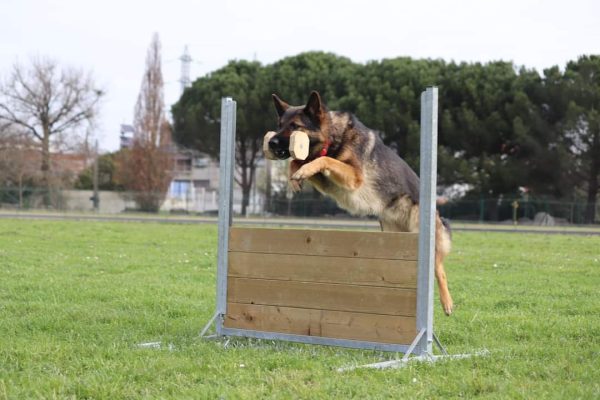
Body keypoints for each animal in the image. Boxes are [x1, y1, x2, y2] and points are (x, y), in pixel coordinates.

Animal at [264, 91, 452, 316]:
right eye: (280, 124)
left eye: (294, 126)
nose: (271, 143)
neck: (333, 139)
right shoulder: (327, 182)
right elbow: (300, 161)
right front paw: (295, 176)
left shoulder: (353, 176)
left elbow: (325, 160)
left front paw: (301, 172)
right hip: (393, 237)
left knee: (439, 268)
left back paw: (447, 303)